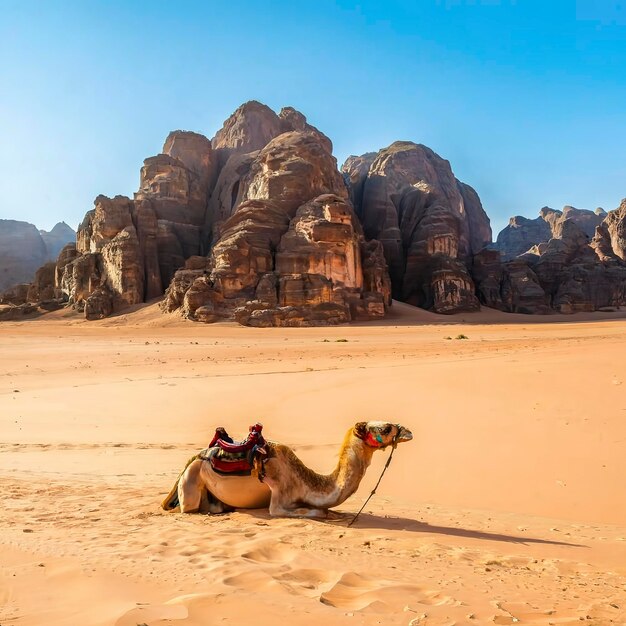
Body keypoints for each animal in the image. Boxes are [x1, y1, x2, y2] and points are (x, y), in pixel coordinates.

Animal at [163, 420, 412, 516]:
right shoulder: (279, 501)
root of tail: (191, 460)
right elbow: (318, 511)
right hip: (191, 482)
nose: (408, 432)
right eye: (385, 428)